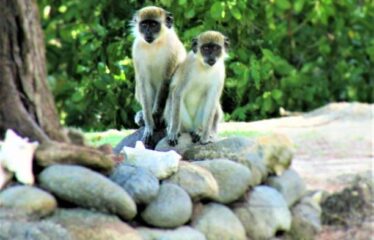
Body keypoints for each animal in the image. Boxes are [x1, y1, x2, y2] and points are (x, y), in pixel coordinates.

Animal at [131, 6, 187, 146]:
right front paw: (149, 124)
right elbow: (143, 84)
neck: (154, 44)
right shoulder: (136, 48)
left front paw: (156, 115)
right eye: (144, 25)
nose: (148, 33)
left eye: (153, 25)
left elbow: (166, 81)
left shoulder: (171, 49)